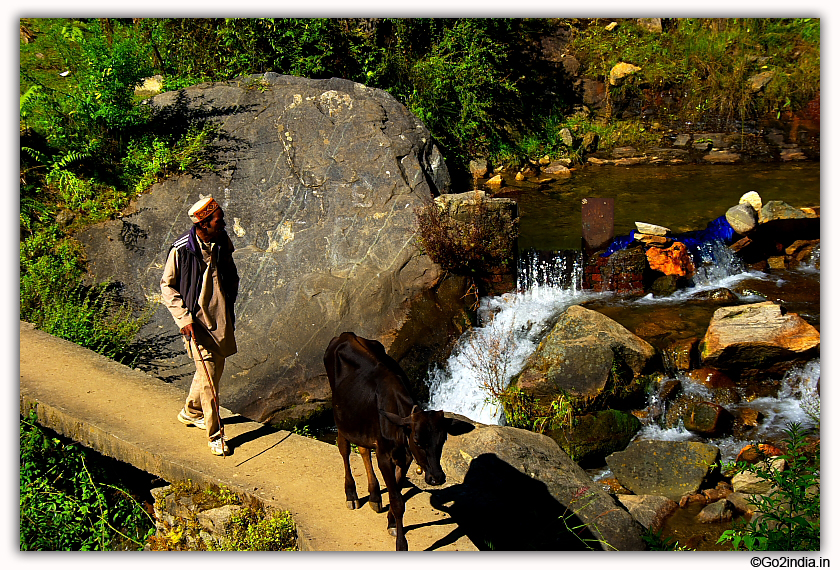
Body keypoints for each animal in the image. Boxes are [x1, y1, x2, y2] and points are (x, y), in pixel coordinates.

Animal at [324, 330, 452, 548]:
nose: (437, 478)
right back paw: (351, 494)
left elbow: (398, 492)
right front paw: (401, 543)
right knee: (344, 449)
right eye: (418, 441)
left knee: (364, 449)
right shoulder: (385, 455)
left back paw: (375, 495)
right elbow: (397, 500)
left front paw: (391, 522)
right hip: (341, 420)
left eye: (442, 440)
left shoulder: (405, 456)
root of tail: (346, 335)